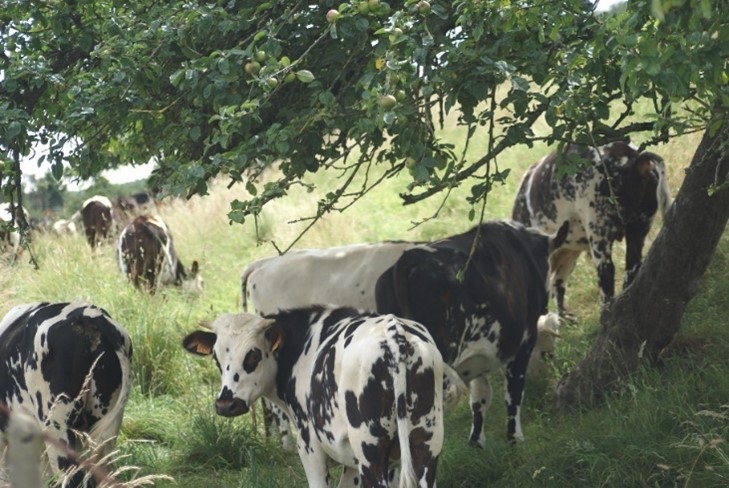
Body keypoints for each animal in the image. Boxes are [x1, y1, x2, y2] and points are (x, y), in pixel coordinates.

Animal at [182, 306, 444, 486]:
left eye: (253, 356)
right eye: (216, 358)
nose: (226, 404)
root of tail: (393, 330)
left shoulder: (309, 447)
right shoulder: (356, 462)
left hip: (371, 450)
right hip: (426, 443)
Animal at [376, 221, 568, 446]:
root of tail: (406, 262)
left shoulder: (478, 357)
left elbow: (480, 396)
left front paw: (476, 442)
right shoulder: (525, 339)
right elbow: (514, 391)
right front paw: (515, 438)